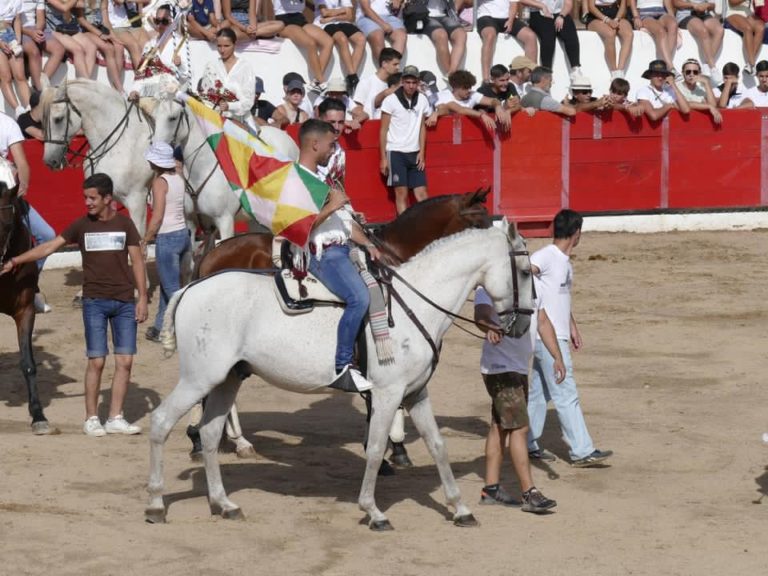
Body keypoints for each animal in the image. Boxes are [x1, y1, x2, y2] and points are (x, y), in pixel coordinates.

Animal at [146, 223, 536, 528]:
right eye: (527, 271)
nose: (523, 325)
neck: (415, 304)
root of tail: (191, 287)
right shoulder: (388, 394)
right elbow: (376, 447)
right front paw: (374, 511)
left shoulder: (415, 392)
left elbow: (437, 445)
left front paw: (460, 508)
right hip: (198, 378)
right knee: (162, 422)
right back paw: (155, 504)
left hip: (227, 379)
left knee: (210, 434)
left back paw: (224, 503)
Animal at [150, 98, 300, 237]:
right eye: (154, 117)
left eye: (172, 118)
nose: (154, 149)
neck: (202, 169)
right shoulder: (191, 222)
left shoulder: (225, 221)